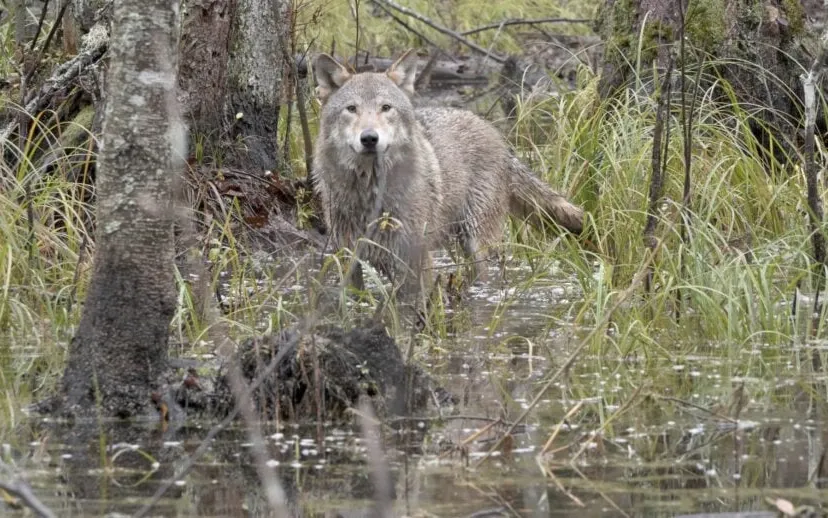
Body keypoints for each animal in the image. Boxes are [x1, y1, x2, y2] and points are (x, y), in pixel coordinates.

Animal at [312, 49, 584, 298]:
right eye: (351, 109)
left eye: (385, 108)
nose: (369, 138)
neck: (370, 192)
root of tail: (494, 133)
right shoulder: (347, 257)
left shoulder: (417, 258)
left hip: (476, 243)